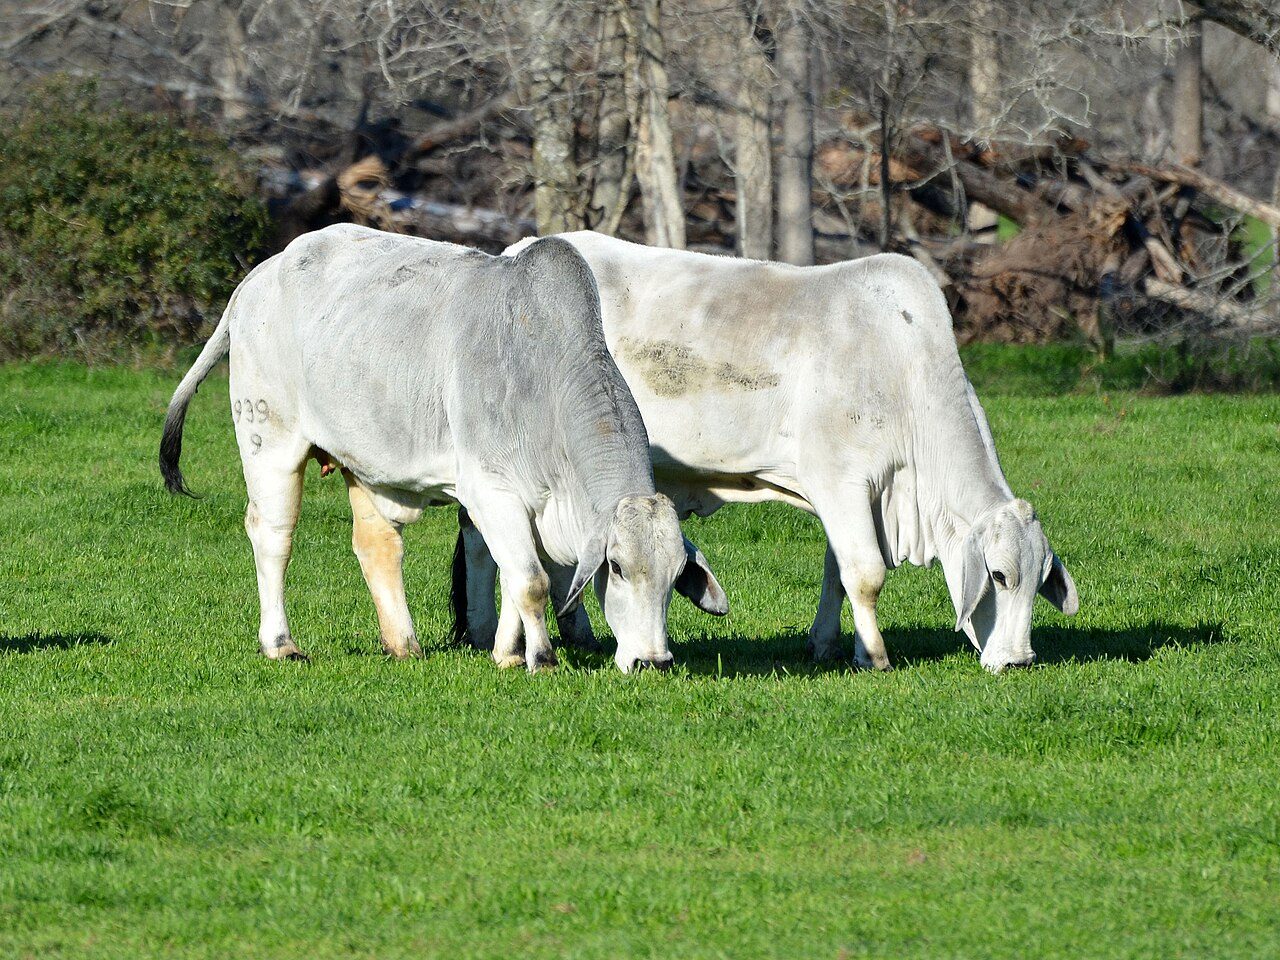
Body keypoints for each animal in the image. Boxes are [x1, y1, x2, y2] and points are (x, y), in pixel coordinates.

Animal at [159, 224, 727, 673]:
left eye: (675, 575)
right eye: (618, 567)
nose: (654, 661)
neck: (544, 380)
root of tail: (260, 274)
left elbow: (510, 573)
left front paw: (506, 653)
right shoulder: (492, 489)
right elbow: (531, 581)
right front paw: (541, 659)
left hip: (367, 462)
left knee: (377, 544)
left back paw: (402, 644)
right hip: (270, 441)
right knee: (273, 535)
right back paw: (280, 643)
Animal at [455, 232, 1077, 673]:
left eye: (1041, 577)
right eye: (998, 575)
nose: (1020, 660)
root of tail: (512, 254)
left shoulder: (850, 496)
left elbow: (838, 573)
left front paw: (831, 645)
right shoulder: (841, 482)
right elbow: (866, 574)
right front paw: (875, 657)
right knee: (493, 546)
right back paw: (497, 636)